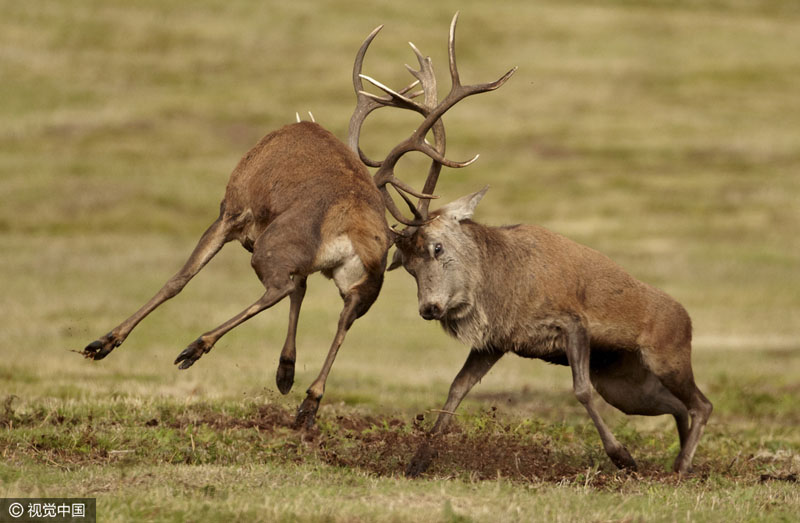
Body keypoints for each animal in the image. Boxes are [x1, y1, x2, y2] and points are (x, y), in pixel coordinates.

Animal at [81, 13, 516, 430]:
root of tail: (354, 225)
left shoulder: (231, 210)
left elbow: (179, 279)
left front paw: (104, 341)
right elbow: (302, 293)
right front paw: (286, 370)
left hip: (271, 245)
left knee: (278, 286)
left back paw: (195, 346)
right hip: (365, 280)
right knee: (341, 315)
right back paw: (309, 402)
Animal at [394, 186, 712, 476]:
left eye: (437, 247)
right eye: (408, 266)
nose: (429, 308)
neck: (505, 286)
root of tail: (688, 321)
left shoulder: (573, 322)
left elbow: (581, 390)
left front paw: (623, 457)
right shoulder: (496, 343)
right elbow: (458, 386)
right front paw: (418, 462)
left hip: (667, 358)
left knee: (702, 404)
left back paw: (682, 467)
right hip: (622, 385)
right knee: (678, 406)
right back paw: (683, 463)